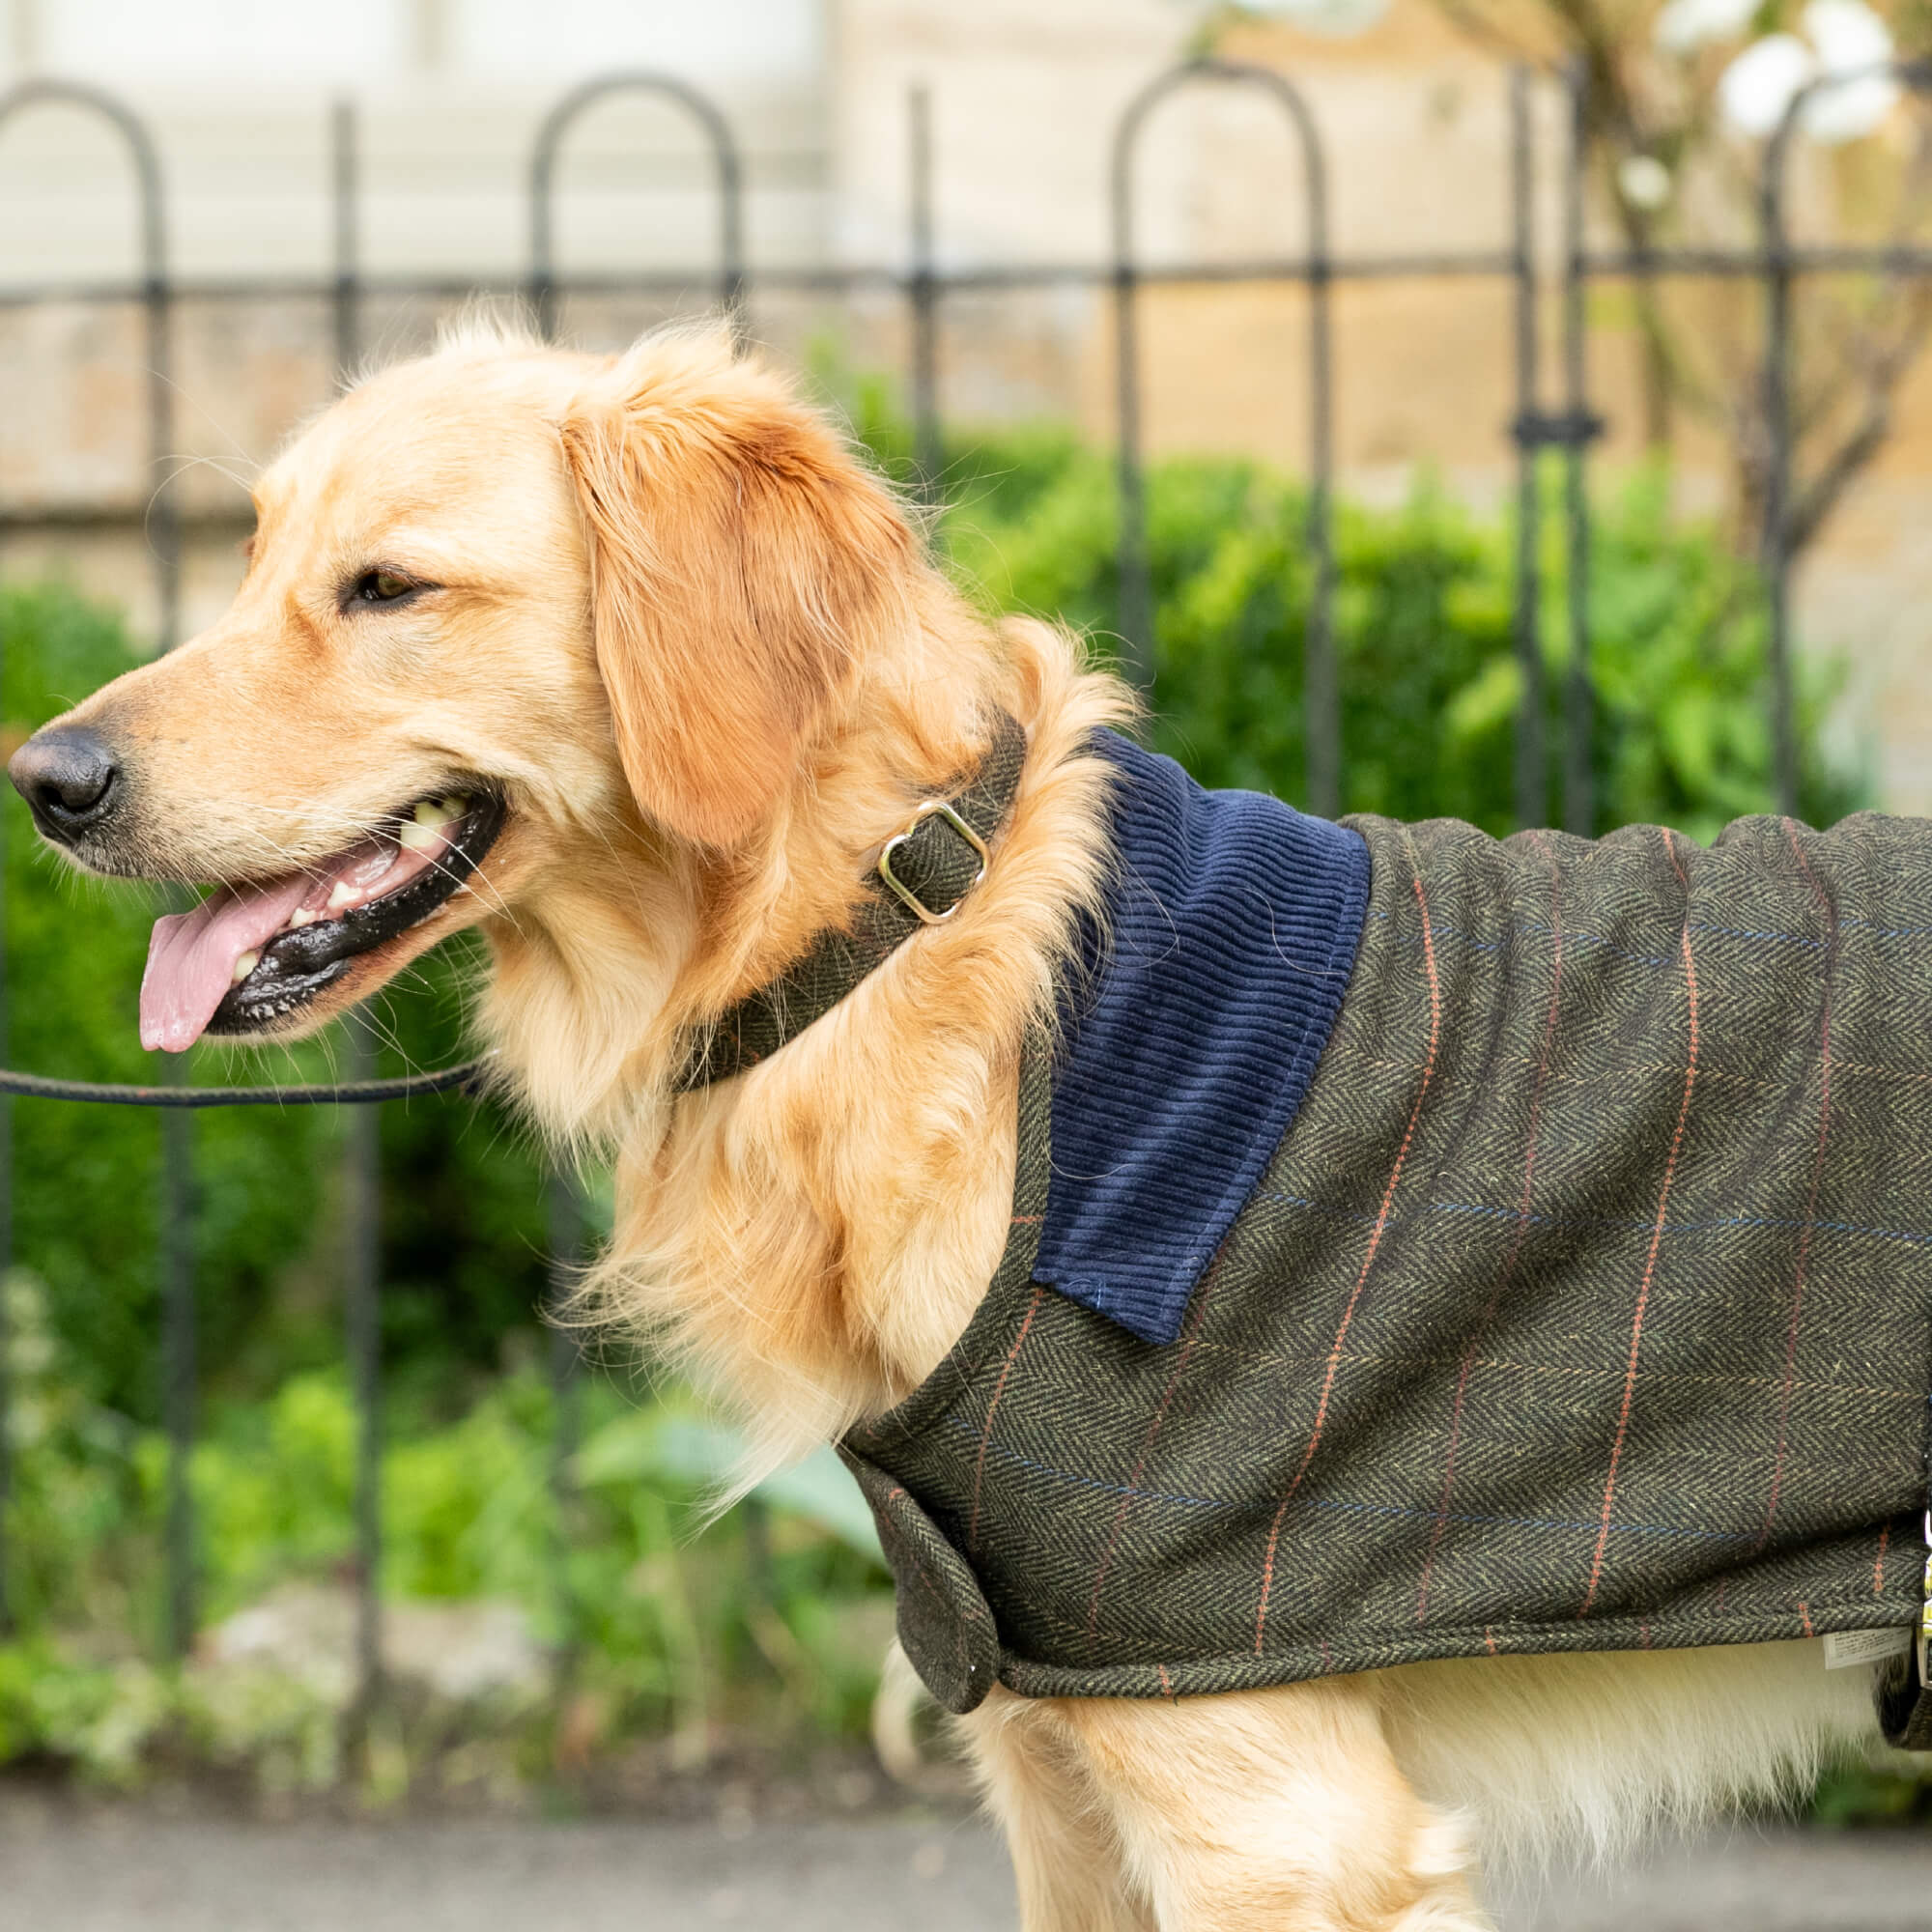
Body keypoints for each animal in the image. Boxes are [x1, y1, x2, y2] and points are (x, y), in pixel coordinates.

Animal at [11, 325, 1886, 1924]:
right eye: (250, 563)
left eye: (389, 586)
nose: (47, 780)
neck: (886, 940)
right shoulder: (1057, 1764)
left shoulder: (1271, 1809)